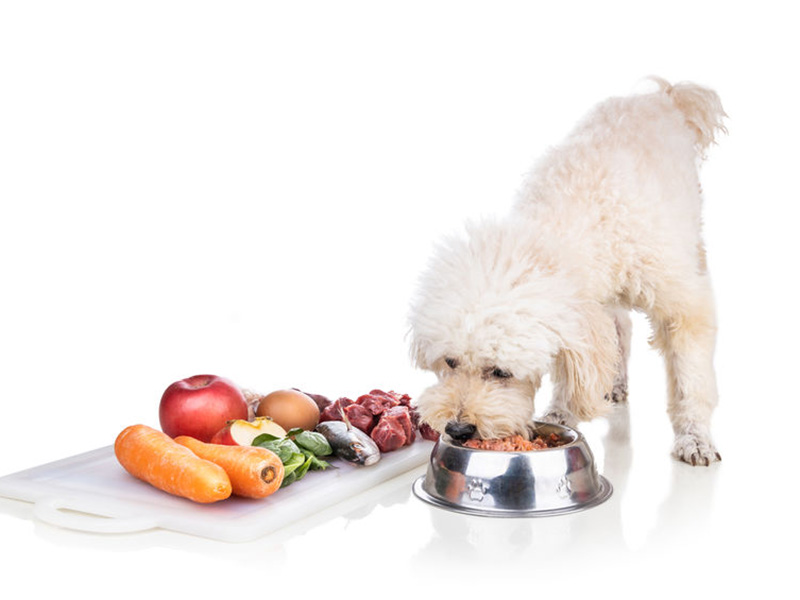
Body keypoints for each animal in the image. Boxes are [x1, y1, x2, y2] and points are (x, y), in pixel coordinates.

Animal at [410, 77, 728, 466]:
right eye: (451, 362)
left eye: (500, 372)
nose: (457, 428)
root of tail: (663, 95)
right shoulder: (578, 316)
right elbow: (576, 363)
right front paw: (561, 412)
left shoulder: (681, 306)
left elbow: (689, 378)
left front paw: (695, 437)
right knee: (619, 328)